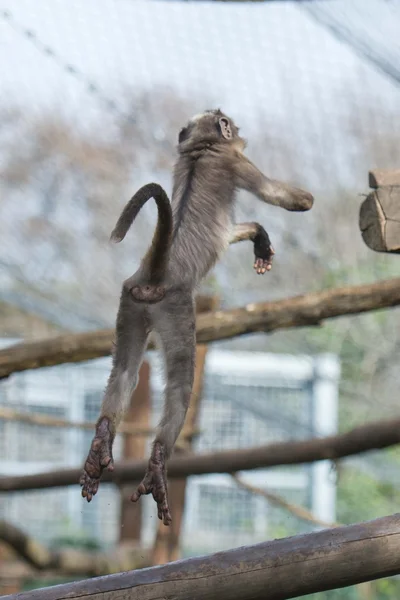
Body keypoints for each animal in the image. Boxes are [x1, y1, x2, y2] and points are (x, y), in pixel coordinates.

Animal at [79, 109, 314, 524]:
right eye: (227, 123)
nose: (232, 126)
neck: (200, 149)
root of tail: (157, 271)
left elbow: (232, 231)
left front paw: (258, 237)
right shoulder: (236, 161)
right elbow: (276, 194)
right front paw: (303, 202)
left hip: (131, 301)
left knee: (123, 372)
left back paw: (100, 445)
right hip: (176, 307)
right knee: (179, 386)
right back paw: (158, 462)